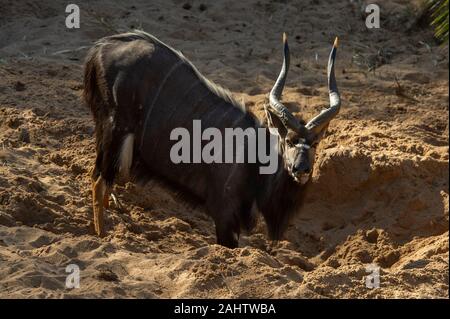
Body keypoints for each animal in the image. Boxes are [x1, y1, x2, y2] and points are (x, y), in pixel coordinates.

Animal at [82, 30, 340, 250]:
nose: (301, 169)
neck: (255, 160)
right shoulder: (225, 215)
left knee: (101, 176)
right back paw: (103, 237)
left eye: (314, 143)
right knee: (98, 180)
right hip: (115, 130)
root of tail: (102, 47)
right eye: (289, 141)